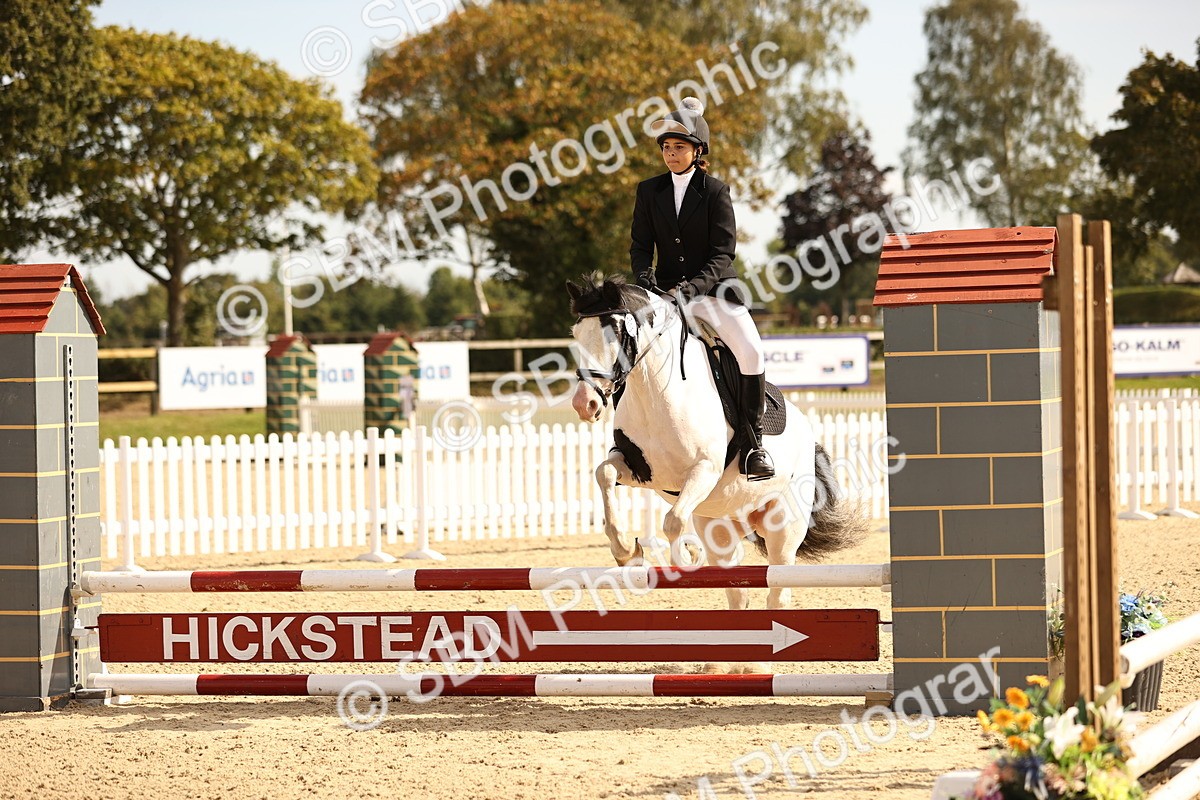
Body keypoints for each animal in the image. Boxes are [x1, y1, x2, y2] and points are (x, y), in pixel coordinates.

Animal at [568, 274, 866, 613]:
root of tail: (807, 434)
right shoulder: (639, 469)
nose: (585, 404)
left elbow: (673, 521)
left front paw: (686, 557)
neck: (655, 391)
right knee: (736, 588)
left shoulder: (704, 469)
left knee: (778, 587)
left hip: (783, 527)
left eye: (617, 332)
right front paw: (627, 552)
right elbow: (604, 474)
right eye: (576, 334)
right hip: (720, 527)